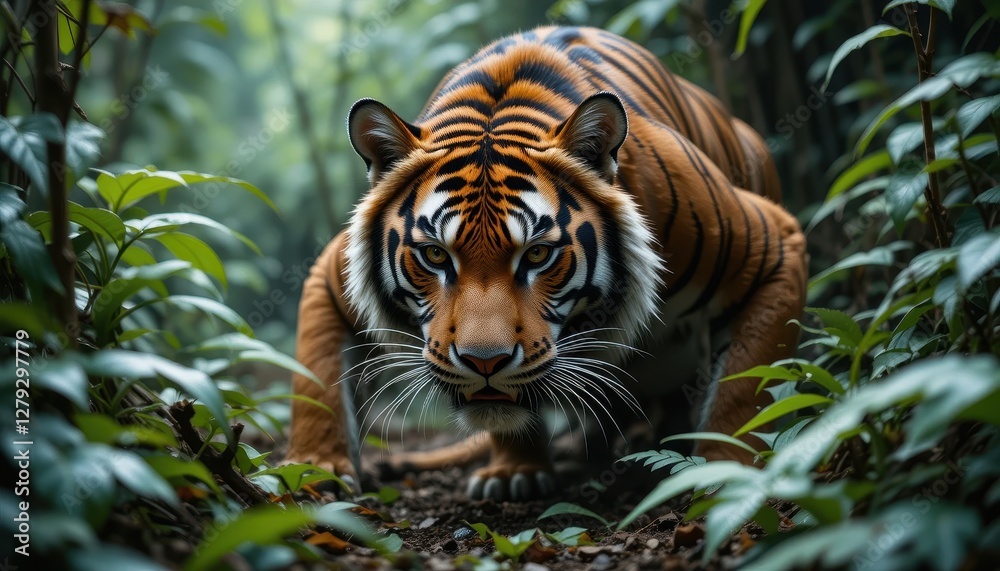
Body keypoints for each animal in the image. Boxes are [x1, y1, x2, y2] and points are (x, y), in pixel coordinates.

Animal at [283, 26, 808, 501]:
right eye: (435, 254)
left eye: (537, 254)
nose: (484, 362)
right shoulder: (329, 279)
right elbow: (315, 385)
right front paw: (311, 472)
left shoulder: (775, 250)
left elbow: (745, 389)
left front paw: (730, 472)